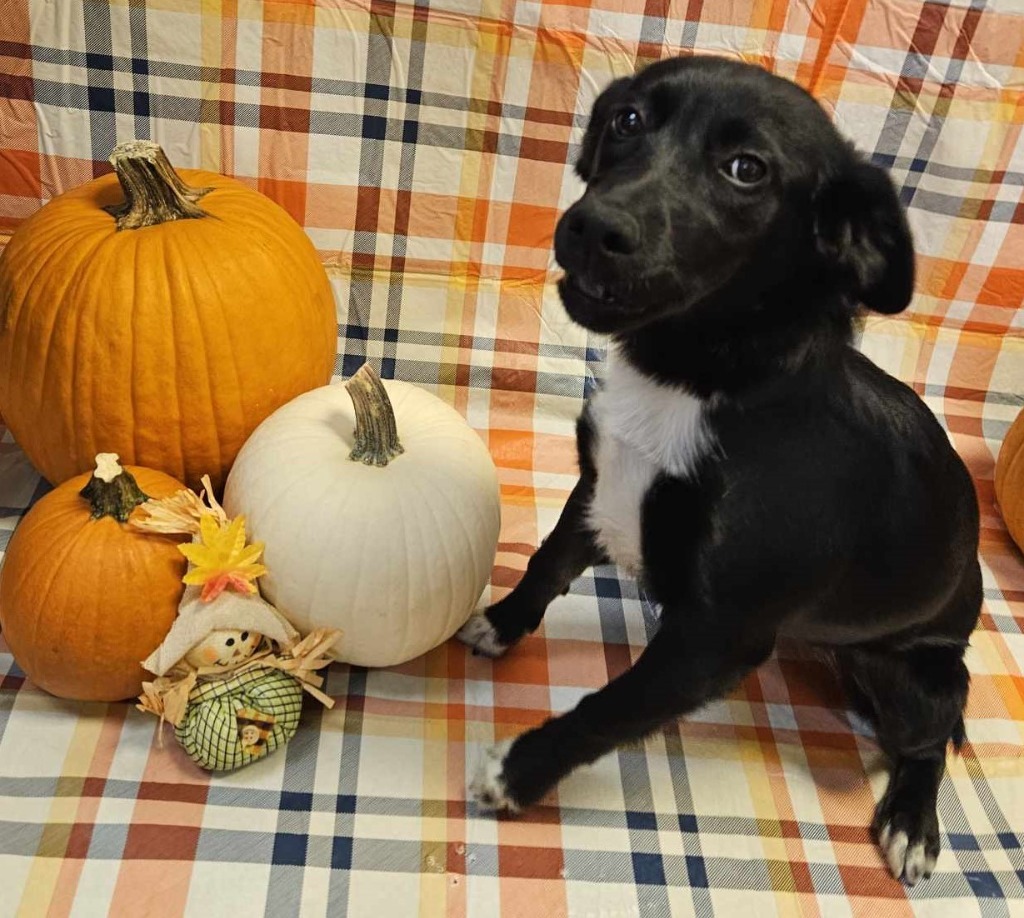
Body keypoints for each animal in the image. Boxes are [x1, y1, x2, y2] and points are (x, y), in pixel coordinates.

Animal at [460, 55, 978, 881]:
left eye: (746, 169)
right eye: (628, 120)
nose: (591, 227)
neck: (693, 382)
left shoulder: (718, 639)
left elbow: (613, 707)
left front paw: (519, 772)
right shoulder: (601, 488)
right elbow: (546, 562)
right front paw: (504, 623)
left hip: (918, 680)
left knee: (933, 739)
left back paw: (910, 821)